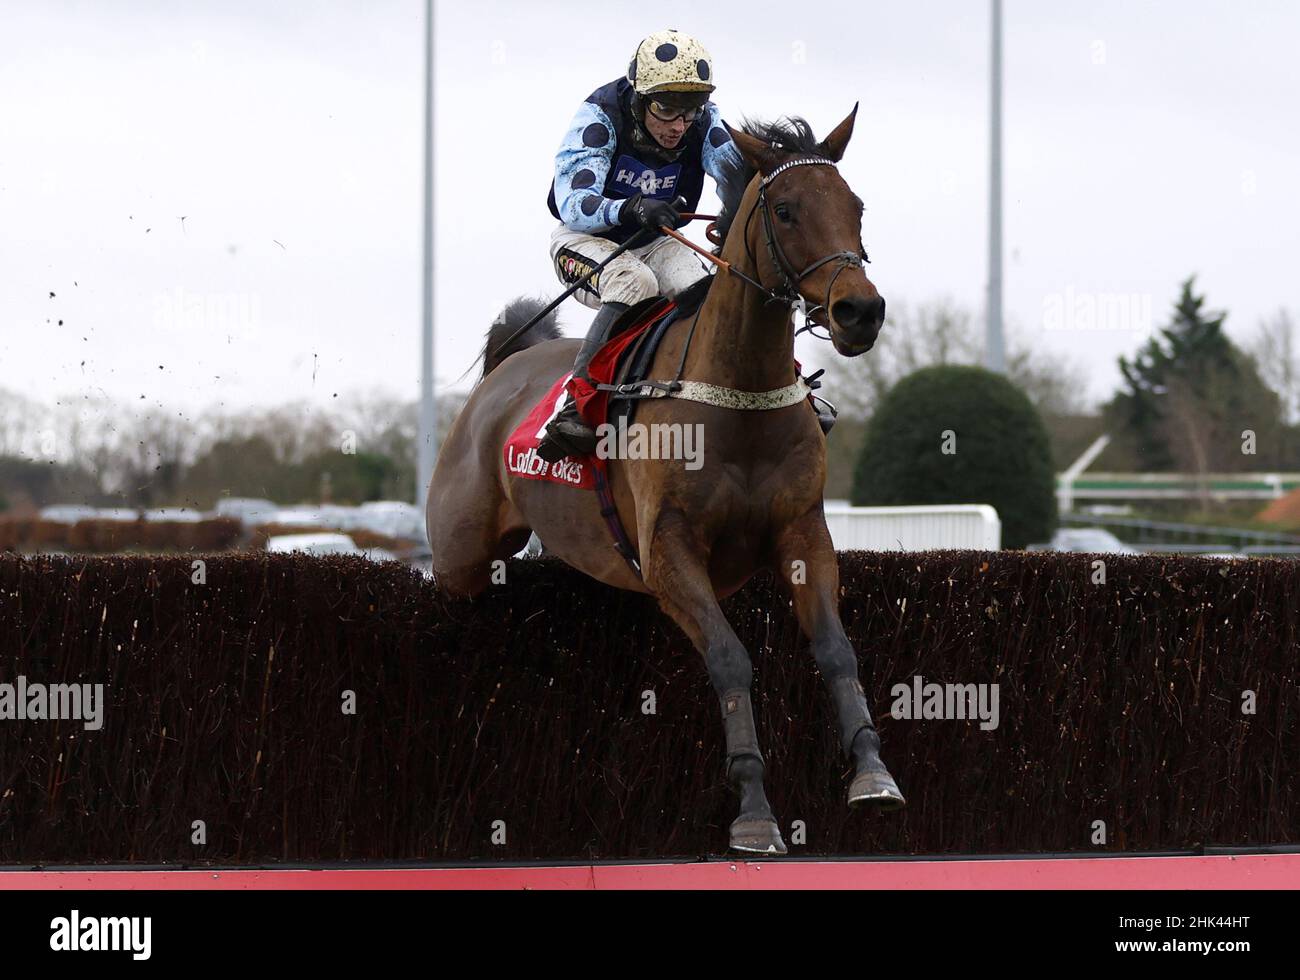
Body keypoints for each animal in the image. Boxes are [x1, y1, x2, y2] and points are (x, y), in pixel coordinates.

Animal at [426, 106, 904, 852]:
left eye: (855, 206)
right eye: (787, 210)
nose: (860, 311)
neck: (737, 392)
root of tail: (508, 366)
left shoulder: (804, 534)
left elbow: (836, 649)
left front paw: (873, 773)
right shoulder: (670, 551)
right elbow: (731, 659)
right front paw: (755, 812)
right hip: (460, 553)